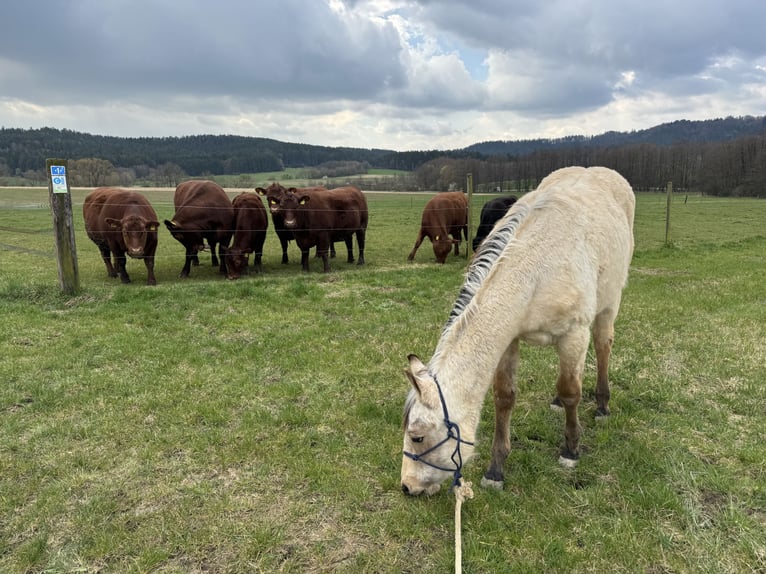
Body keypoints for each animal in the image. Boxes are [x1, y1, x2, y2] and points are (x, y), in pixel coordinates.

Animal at [402, 165, 636, 496]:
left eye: (418, 437)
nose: (407, 486)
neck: (534, 272)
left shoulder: (574, 335)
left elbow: (572, 390)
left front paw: (571, 450)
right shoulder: (508, 340)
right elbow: (505, 397)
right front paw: (496, 469)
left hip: (609, 303)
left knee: (603, 346)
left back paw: (602, 404)